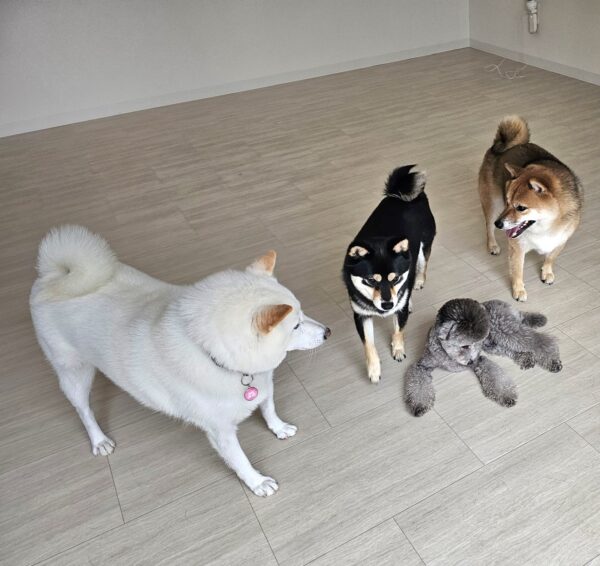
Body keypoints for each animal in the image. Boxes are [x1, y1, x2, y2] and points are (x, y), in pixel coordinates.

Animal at [30, 225, 330, 497]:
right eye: (295, 326)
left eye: (303, 314)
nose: (328, 331)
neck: (217, 358)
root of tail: (53, 275)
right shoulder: (220, 431)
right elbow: (240, 459)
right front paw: (257, 482)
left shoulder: (264, 383)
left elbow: (268, 407)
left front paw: (279, 428)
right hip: (73, 372)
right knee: (83, 409)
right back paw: (99, 439)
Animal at [342, 165, 436, 383]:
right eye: (370, 281)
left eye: (396, 278)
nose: (387, 305)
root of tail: (401, 196)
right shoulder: (361, 315)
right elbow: (368, 345)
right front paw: (374, 369)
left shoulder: (399, 304)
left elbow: (399, 330)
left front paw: (398, 349)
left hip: (422, 249)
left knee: (421, 268)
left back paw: (417, 283)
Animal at [478, 115, 583, 301]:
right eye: (507, 201)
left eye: (521, 208)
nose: (500, 224)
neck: (546, 227)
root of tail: (507, 145)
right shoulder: (517, 246)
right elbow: (518, 270)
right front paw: (519, 290)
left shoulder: (560, 240)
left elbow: (550, 258)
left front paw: (547, 272)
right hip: (492, 204)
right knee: (488, 227)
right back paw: (493, 245)